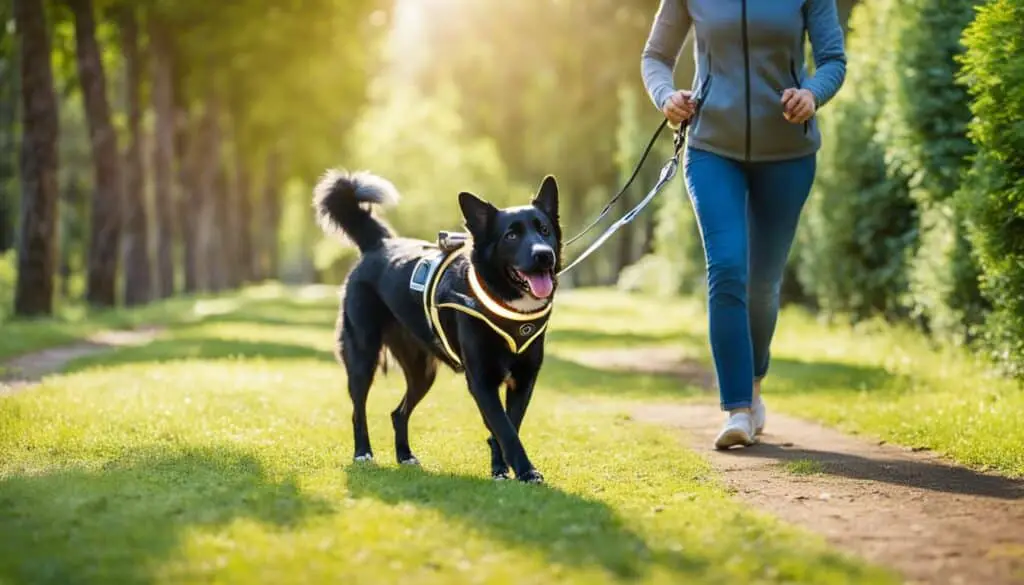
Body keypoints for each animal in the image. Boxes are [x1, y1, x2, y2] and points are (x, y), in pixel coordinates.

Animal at [315, 170, 565, 485]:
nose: (544, 255)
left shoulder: (523, 380)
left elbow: (508, 425)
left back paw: (405, 456)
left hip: (422, 372)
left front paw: (500, 469)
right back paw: (363, 453)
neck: (503, 302)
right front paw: (525, 471)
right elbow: (505, 429)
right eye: (511, 236)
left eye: (544, 230)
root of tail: (380, 244)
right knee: (358, 410)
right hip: (363, 355)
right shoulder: (482, 381)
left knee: (398, 413)